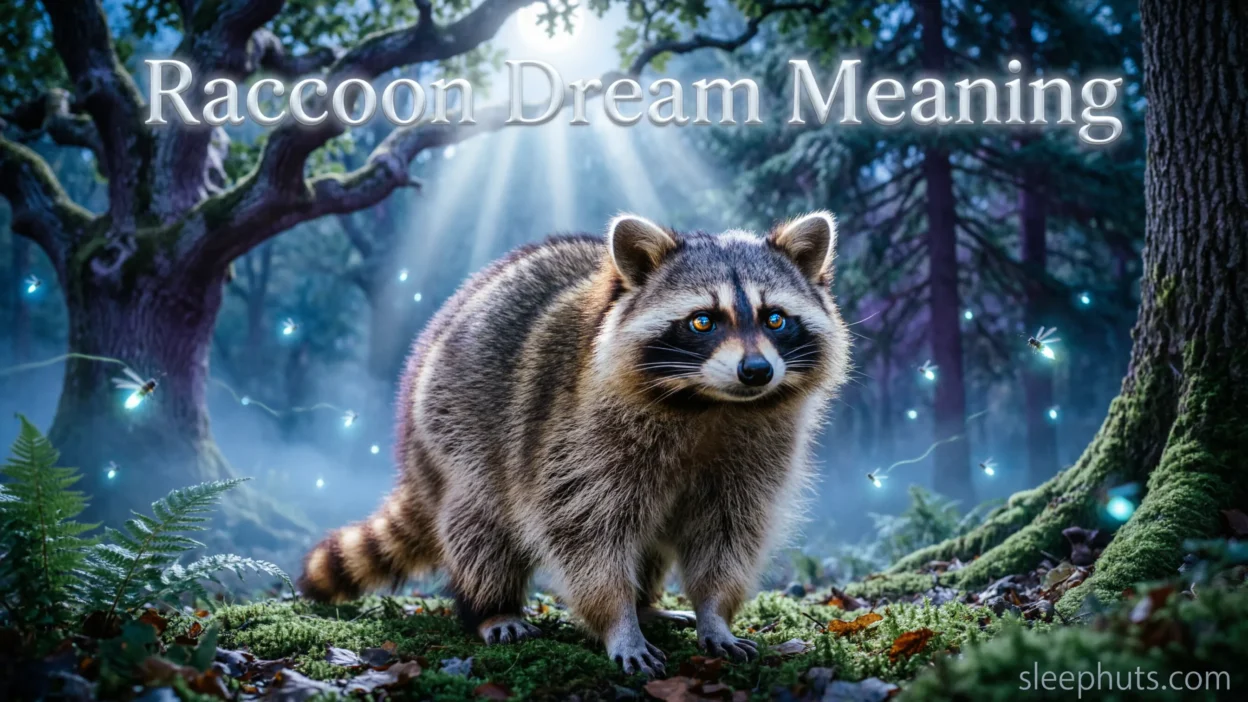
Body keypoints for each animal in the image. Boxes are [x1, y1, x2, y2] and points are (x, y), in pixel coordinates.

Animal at [300, 212, 850, 676]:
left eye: (775, 318)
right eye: (703, 321)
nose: (756, 371)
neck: (709, 403)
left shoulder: (758, 450)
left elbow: (728, 533)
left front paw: (713, 613)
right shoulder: (576, 439)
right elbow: (585, 535)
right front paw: (617, 622)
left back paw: (647, 604)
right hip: (454, 429)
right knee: (479, 526)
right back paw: (491, 607)